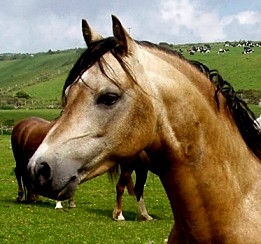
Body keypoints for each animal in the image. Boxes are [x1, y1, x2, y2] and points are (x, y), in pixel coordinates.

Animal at [11, 117, 150, 220]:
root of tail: (21, 124)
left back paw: (33, 198)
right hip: (19, 160)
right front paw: (59, 204)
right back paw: (22, 196)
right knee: (19, 174)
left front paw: (70, 202)